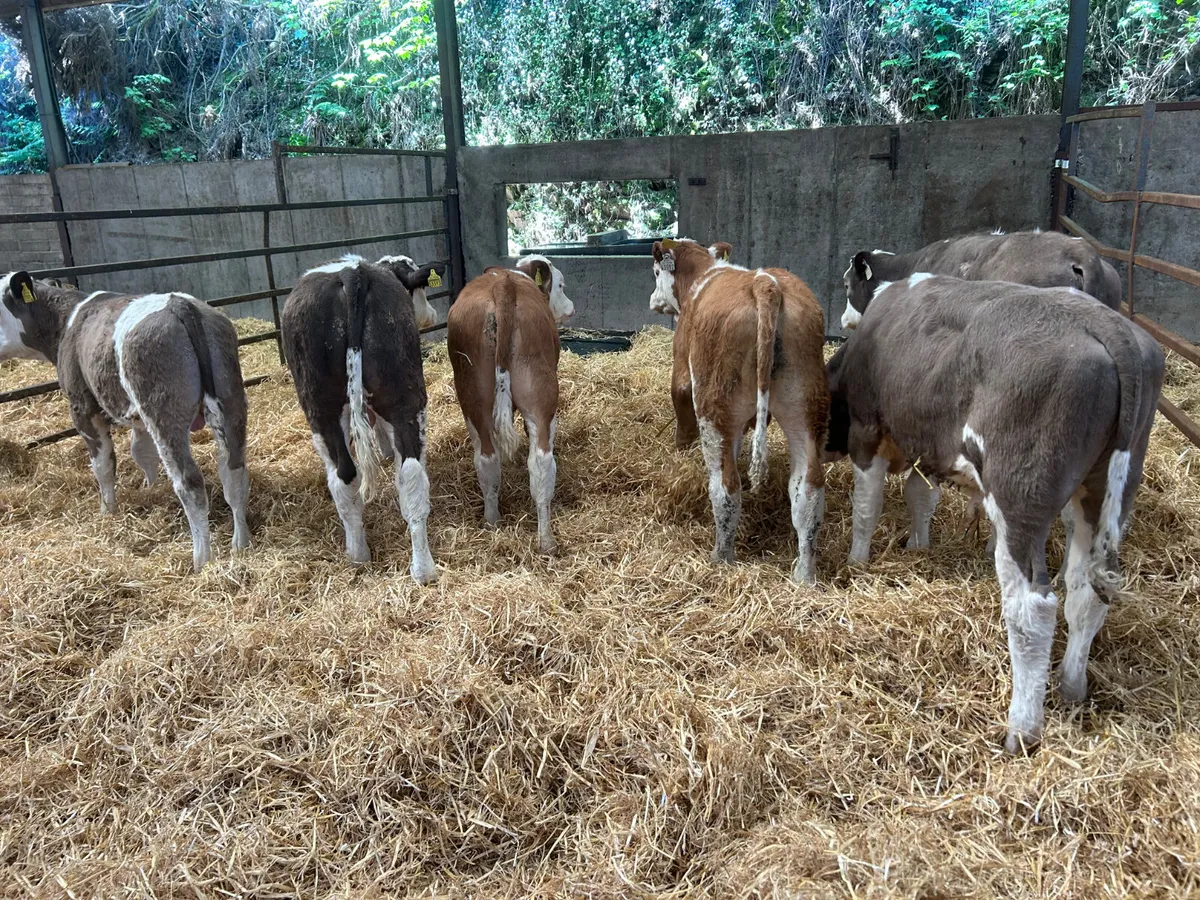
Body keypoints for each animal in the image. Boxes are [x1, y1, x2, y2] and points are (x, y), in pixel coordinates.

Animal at [0, 272, 250, 571]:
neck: (67, 320)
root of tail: (179, 304)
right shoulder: (139, 419)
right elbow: (142, 453)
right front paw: (150, 488)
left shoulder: (83, 407)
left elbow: (103, 464)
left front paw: (107, 511)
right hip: (230, 400)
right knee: (233, 471)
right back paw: (240, 544)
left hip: (164, 413)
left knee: (189, 482)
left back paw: (201, 560)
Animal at [281, 253, 444, 584]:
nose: (432, 314)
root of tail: (352, 272)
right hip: (394, 398)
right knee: (404, 475)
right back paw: (417, 569)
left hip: (323, 408)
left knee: (346, 475)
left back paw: (362, 556)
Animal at [447, 254, 574, 554]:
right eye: (561, 285)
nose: (571, 308)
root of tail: (503, 286)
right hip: (542, 394)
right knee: (541, 462)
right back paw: (546, 541)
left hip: (473, 396)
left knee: (487, 459)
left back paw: (492, 521)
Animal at [650, 238, 828, 583]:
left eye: (655, 272)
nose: (653, 300)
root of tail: (764, 283)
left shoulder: (682, 373)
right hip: (806, 407)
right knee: (807, 490)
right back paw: (804, 576)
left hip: (714, 406)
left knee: (726, 488)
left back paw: (721, 558)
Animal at [827, 273, 1164, 753]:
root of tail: (1105, 322)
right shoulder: (929, 446)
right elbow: (920, 496)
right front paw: (918, 546)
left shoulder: (867, 428)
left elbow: (866, 508)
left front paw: (857, 561)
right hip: (1102, 493)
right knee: (1085, 592)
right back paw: (1071, 687)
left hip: (1020, 495)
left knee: (1032, 608)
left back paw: (1021, 730)